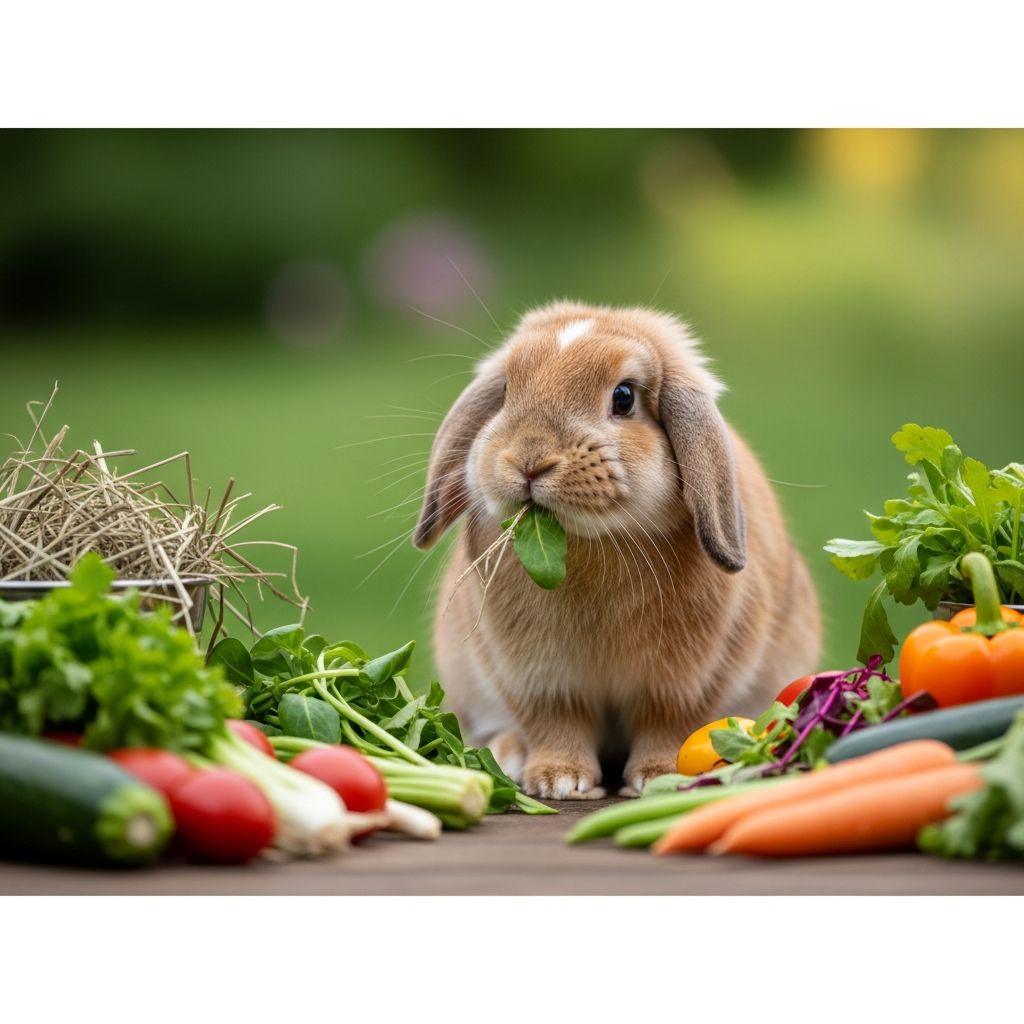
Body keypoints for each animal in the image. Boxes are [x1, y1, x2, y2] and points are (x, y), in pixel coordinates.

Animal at [412, 301, 821, 799]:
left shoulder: (684, 683)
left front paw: (656, 777)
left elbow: (665, 724)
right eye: (506, 390)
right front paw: (559, 781)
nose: (529, 459)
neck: (593, 542)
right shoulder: (541, 681)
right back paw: (508, 754)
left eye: (624, 397)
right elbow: (556, 723)